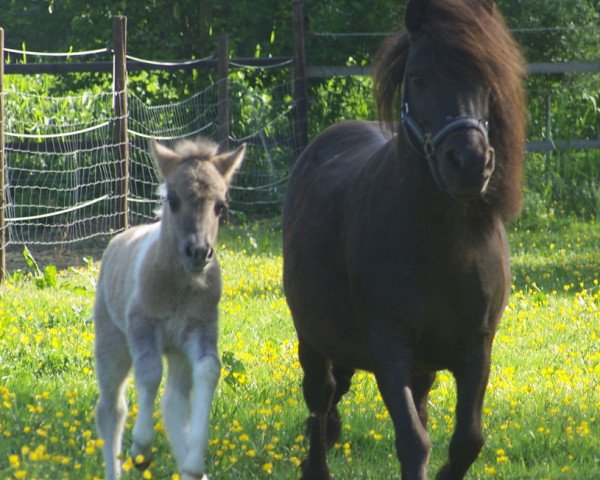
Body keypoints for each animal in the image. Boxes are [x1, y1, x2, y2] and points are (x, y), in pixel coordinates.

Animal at [92, 137, 245, 478]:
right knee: (111, 408)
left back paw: (190, 469)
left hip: (177, 350)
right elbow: (149, 373)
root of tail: (117, 239)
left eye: (220, 207)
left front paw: (194, 462)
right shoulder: (142, 326)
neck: (180, 288)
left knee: (174, 402)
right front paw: (141, 449)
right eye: (172, 200)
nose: (199, 252)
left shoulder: (200, 330)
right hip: (112, 340)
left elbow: (209, 370)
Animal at [284, 0, 524, 480]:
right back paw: (316, 464)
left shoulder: (477, 348)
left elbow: (468, 440)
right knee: (320, 396)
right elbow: (414, 441)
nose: (469, 162)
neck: (442, 248)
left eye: (486, 75)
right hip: (313, 337)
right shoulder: (389, 347)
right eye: (419, 77)